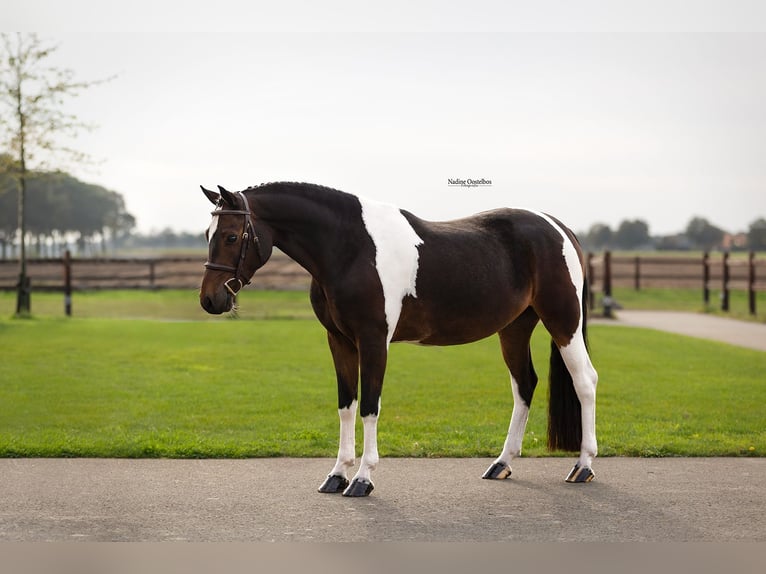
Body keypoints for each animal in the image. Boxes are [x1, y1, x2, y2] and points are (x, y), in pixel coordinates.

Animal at [199, 182, 598, 497]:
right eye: (207, 234)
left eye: (231, 236)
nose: (210, 300)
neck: (350, 248)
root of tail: (558, 227)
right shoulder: (339, 341)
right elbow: (346, 405)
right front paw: (337, 475)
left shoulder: (373, 340)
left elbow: (369, 406)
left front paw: (362, 479)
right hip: (514, 328)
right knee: (524, 385)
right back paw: (501, 463)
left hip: (564, 322)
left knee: (584, 382)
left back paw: (583, 466)